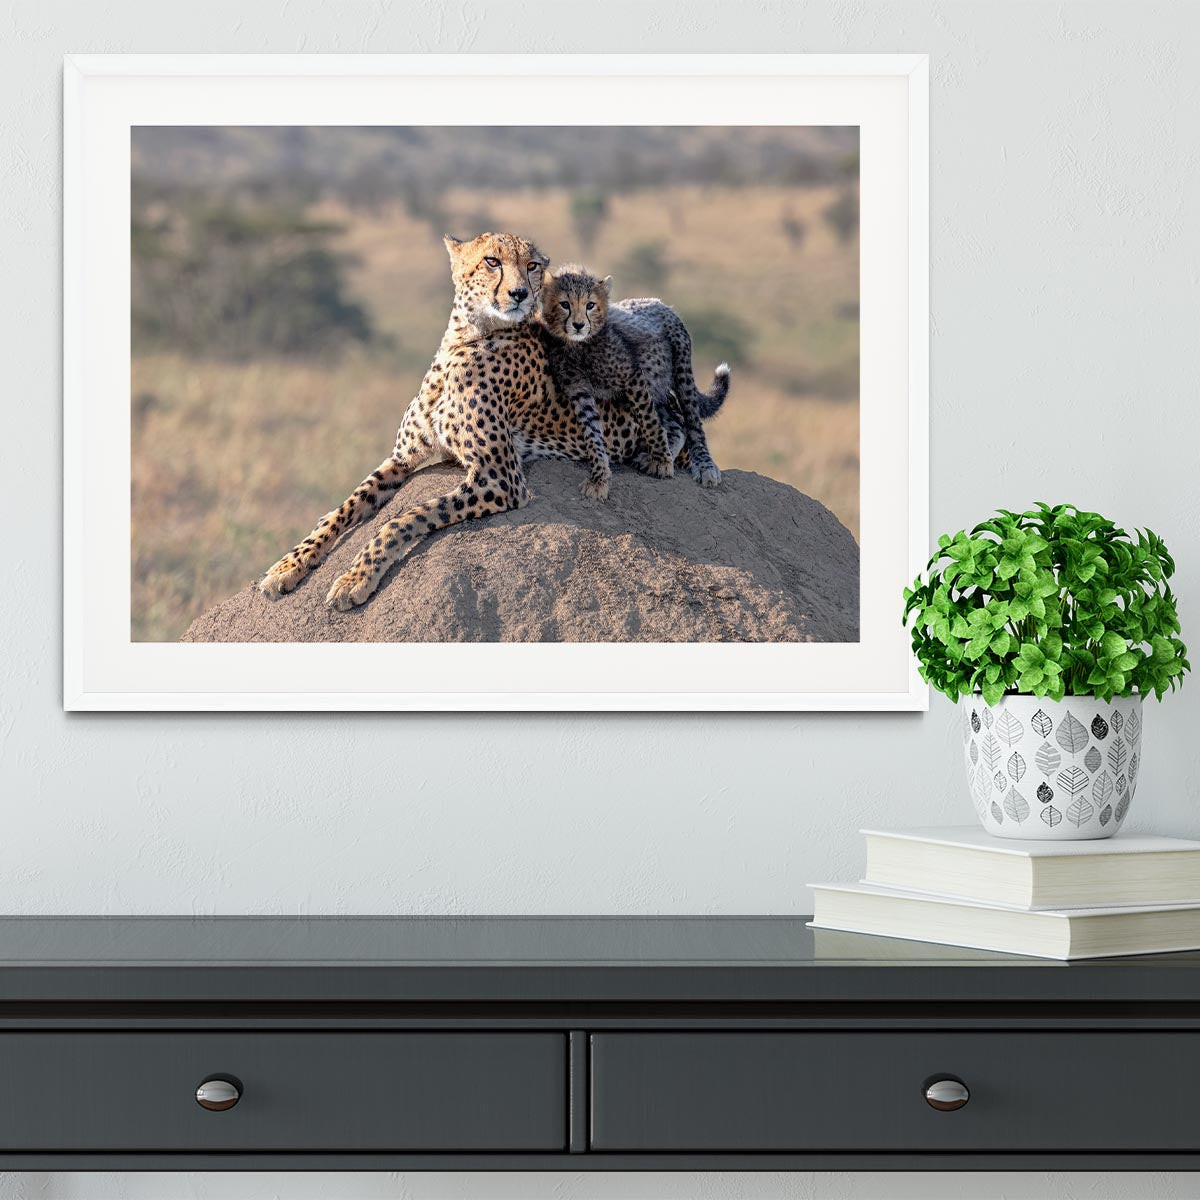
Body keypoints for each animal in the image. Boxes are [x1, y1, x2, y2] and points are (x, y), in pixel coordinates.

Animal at [258, 232, 662, 611]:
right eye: (492, 261)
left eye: (532, 265)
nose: (519, 294)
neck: (465, 338)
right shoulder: (403, 457)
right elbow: (347, 505)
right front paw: (289, 565)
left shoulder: (500, 478)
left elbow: (406, 517)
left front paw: (355, 578)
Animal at [540, 266, 730, 488]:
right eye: (565, 304)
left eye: (590, 305)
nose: (578, 325)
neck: (578, 345)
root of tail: (659, 302)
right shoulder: (578, 389)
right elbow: (592, 429)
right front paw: (599, 474)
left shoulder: (632, 376)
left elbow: (650, 422)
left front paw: (663, 462)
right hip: (655, 385)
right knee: (675, 422)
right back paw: (654, 456)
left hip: (680, 370)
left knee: (692, 421)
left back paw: (704, 466)